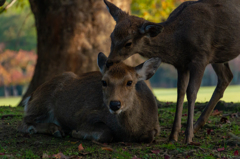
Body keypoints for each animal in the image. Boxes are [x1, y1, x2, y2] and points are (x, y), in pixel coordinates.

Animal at [17, 52, 161, 143]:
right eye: (104, 82)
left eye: (130, 82)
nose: (115, 104)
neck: (130, 132)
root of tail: (30, 96)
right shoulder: (86, 117)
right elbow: (106, 133)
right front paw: (76, 133)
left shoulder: (155, 126)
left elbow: (149, 136)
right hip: (41, 104)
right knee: (23, 122)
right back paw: (56, 130)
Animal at [103, 0, 240, 143]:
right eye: (112, 36)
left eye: (128, 43)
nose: (109, 62)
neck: (178, 45)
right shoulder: (181, 64)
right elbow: (180, 92)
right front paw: (173, 136)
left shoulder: (201, 57)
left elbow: (192, 92)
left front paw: (188, 137)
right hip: (219, 57)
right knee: (226, 77)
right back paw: (197, 126)